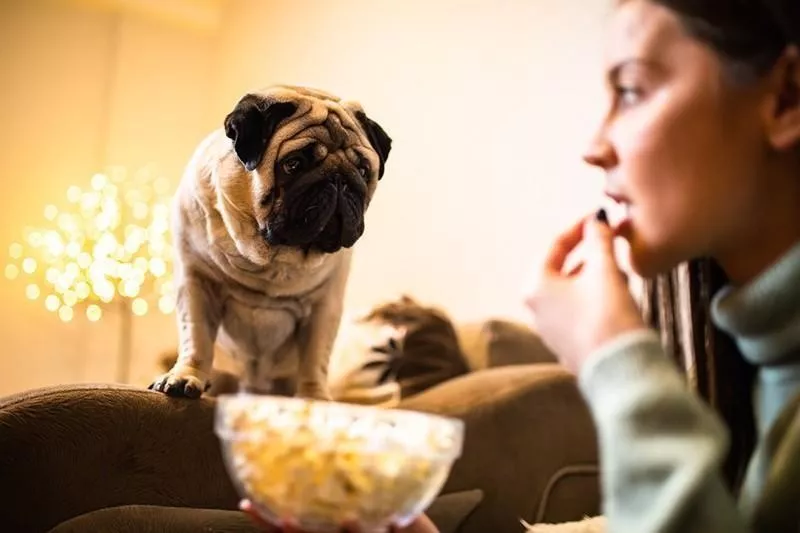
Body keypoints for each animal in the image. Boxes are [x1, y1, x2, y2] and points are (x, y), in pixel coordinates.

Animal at [149, 85, 390, 396]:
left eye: (363, 171)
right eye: (294, 164)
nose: (338, 180)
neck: (271, 257)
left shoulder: (324, 307)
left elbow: (314, 358)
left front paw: (314, 395)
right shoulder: (196, 284)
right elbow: (197, 338)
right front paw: (185, 376)